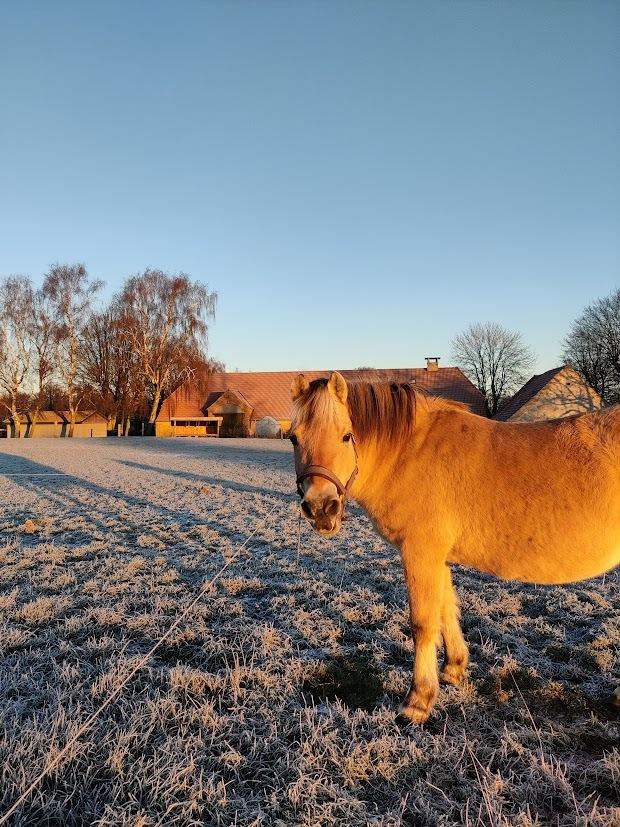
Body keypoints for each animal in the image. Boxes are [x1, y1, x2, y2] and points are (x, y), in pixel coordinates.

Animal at [290, 371, 620, 724]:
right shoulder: (438, 558)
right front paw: (453, 670)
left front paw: (417, 701)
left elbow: (423, 623)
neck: (410, 453)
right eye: (294, 438)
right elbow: (447, 609)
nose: (321, 508)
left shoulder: (420, 554)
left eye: (346, 436)